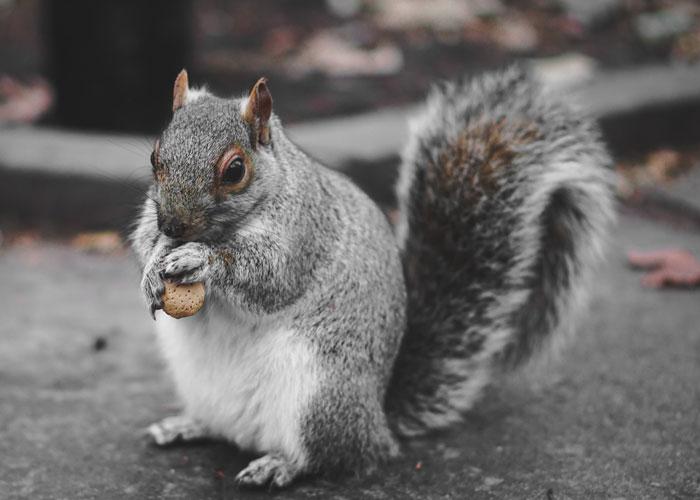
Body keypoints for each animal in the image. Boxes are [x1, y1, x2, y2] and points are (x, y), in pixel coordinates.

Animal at [130, 66, 615, 488]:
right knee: (223, 426)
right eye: (154, 157)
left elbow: (270, 278)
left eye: (235, 170)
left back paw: (281, 465)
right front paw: (153, 266)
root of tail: (378, 420)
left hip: (319, 395)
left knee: (333, 455)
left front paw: (202, 259)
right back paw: (185, 425)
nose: (174, 225)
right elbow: (142, 241)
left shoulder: (304, 233)